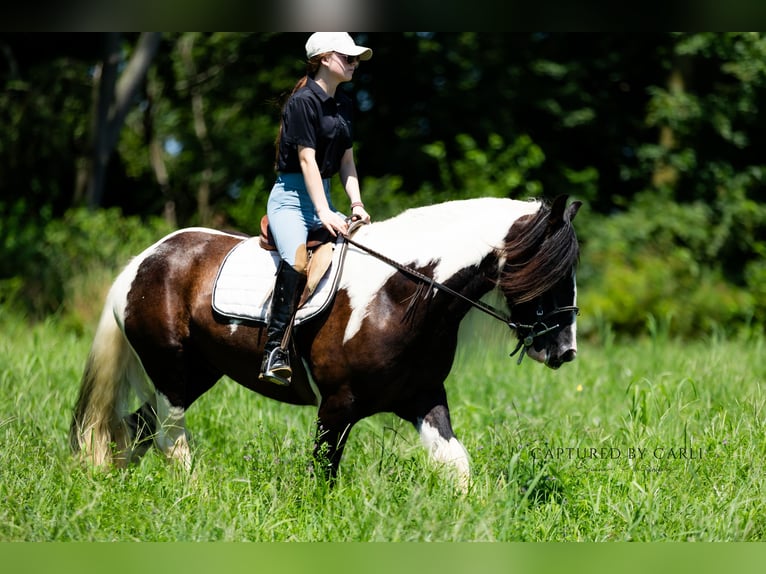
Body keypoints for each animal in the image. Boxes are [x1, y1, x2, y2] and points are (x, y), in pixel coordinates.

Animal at [69, 194, 581, 489]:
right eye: (551, 270)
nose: (565, 352)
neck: (400, 295)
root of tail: (143, 261)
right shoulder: (337, 405)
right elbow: (323, 473)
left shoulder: (423, 397)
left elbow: (457, 467)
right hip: (171, 372)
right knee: (168, 438)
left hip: (195, 374)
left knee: (138, 427)